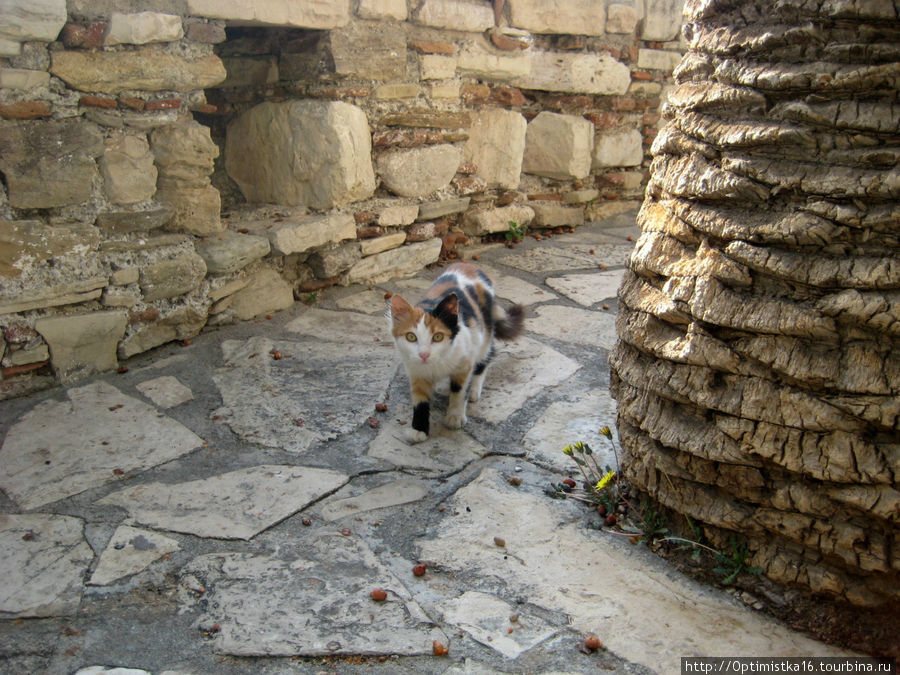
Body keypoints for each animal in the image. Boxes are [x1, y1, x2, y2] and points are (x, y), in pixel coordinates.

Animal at [388, 262, 528, 444]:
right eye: (411, 337)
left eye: (438, 337)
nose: (424, 355)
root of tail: (469, 265)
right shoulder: (416, 371)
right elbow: (420, 401)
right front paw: (419, 429)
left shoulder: (465, 362)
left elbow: (459, 391)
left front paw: (455, 417)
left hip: (484, 333)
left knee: (487, 356)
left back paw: (475, 389)